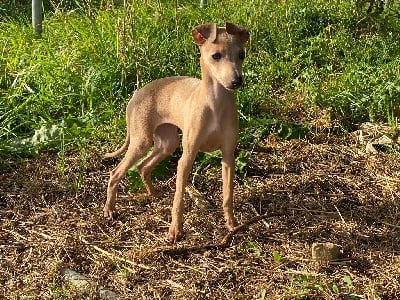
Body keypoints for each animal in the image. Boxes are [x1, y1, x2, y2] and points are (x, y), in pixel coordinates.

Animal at [105, 22, 250, 243]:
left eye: (241, 54)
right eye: (216, 56)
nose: (236, 81)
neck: (215, 104)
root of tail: (136, 95)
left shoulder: (227, 157)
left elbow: (227, 195)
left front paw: (231, 224)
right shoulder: (187, 158)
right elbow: (178, 199)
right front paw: (175, 230)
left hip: (167, 143)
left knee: (143, 167)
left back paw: (153, 194)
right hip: (142, 141)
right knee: (116, 172)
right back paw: (110, 209)